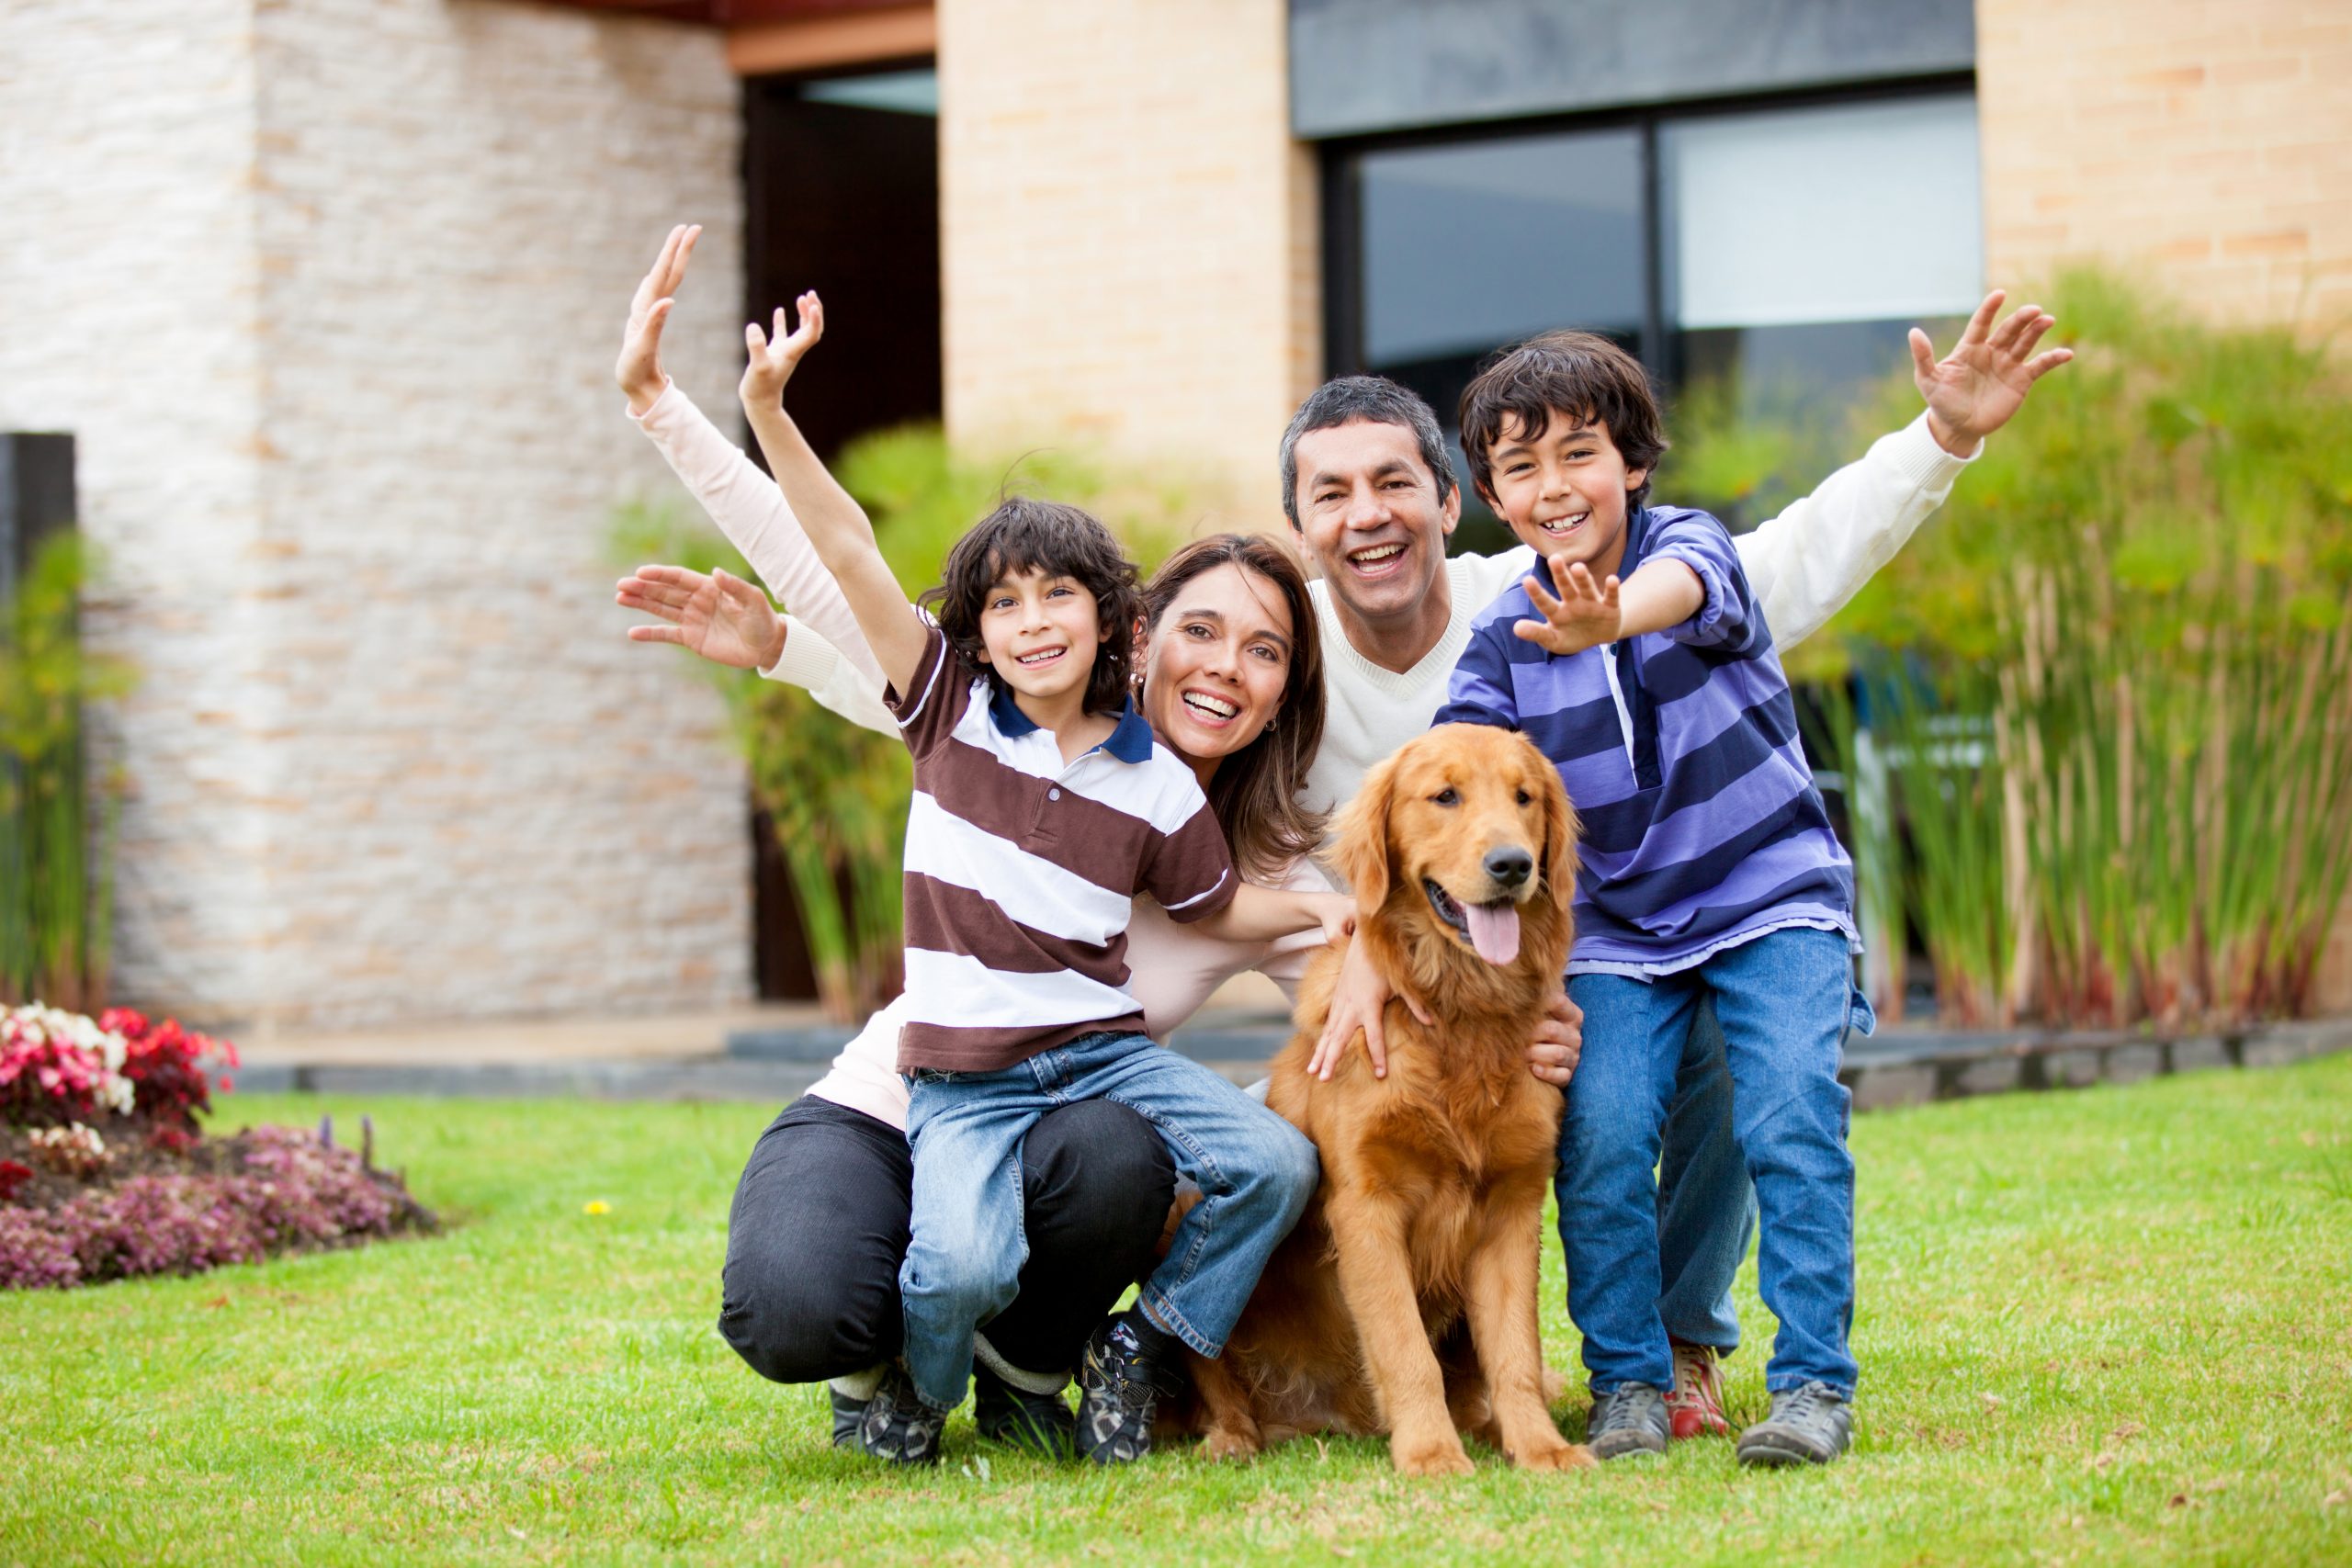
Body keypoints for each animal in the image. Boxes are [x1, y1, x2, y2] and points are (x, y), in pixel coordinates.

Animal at [1185, 728, 1589, 1476]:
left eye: (1524, 797)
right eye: (1445, 795)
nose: (1513, 864)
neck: (1459, 1014)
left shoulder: (1513, 1207)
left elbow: (1517, 1352)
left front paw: (1539, 1446)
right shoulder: (1367, 1207)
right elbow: (1406, 1350)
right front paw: (1431, 1453)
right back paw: (1232, 1437)